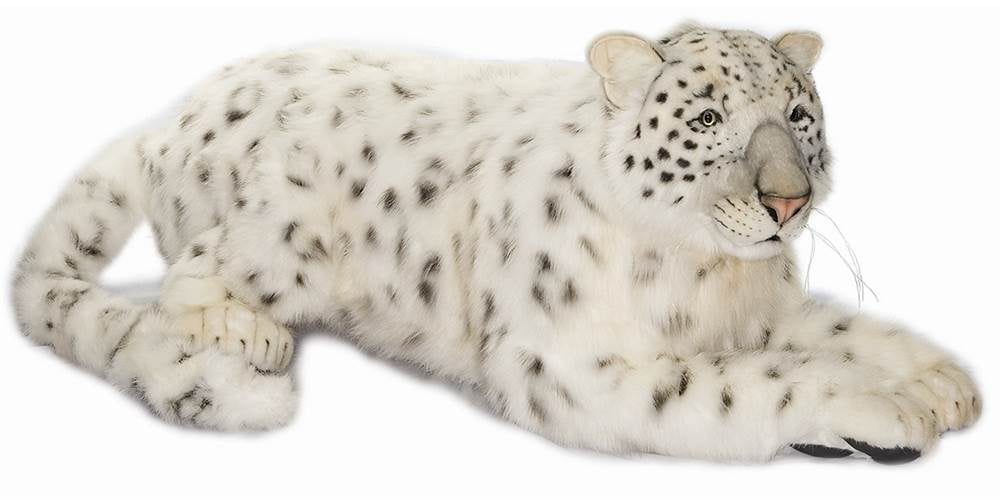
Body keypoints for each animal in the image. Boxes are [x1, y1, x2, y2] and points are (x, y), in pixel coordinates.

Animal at [12, 23, 981, 463]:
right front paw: (886, 407)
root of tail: (171, 117)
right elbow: (756, 382)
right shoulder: (571, 368)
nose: (786, 201)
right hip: (282, 234)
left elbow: (843, 329)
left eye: (798, 117)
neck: (711, 279)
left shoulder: (770, 306)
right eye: (709, 119)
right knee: (190, 273)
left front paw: (942, 383)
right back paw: (249, 331)